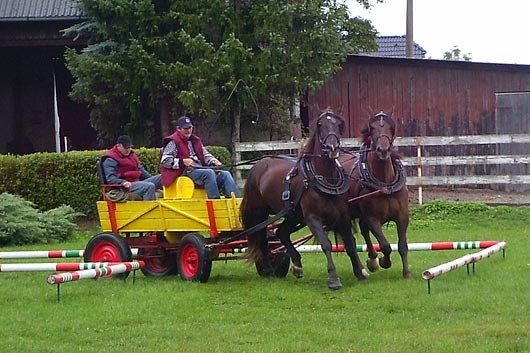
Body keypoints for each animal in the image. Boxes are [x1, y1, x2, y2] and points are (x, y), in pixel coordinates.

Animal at [240, 109, 368, 288]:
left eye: (337, 124)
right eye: (320, 125)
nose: (332, 147)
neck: (325, 178)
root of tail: (259, 165)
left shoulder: (342, 215)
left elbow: (350, 244)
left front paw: (360, 272)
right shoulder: (312, 218)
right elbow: (326, 244)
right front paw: (333, 279)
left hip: (292, 214)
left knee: (281, 232)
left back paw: (297, 265)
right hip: (260, 212)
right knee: (263, 241)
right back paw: (270, 272)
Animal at [340, 112, 410, 278]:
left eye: (391, 128)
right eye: (372, 128)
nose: (383, 150)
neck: (385, 184)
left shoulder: (402, 216)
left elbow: (402, 245)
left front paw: (407, 273)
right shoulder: (373, 219)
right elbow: (385, 246)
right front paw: (384, 262)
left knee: (362, 231)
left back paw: (371, 261)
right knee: (352, 240)